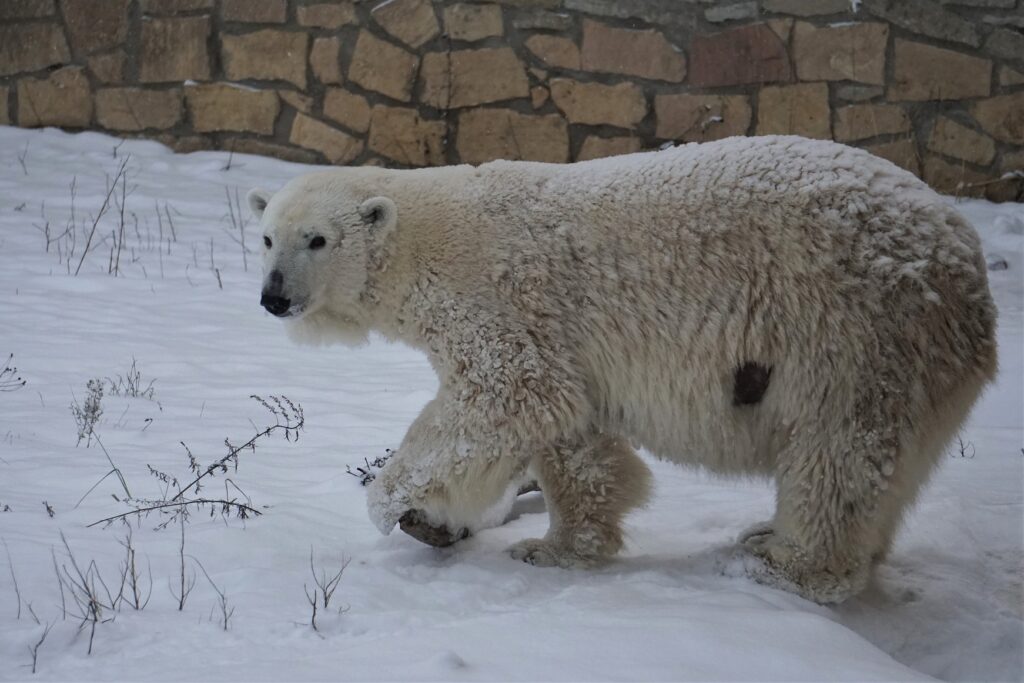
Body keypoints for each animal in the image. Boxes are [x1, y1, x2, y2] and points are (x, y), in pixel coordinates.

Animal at [251, 135, 995, 602]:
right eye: (265, 237)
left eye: (317, 239)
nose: (273, 296)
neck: (428, 236)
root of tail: (963, 256)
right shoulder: (563, 335)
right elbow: (571, 430)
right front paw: (559, 546)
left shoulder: (498, 299)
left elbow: (504, 395)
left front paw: (400, 506)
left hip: (857, 331)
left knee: (835, 454)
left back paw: (786, 562)